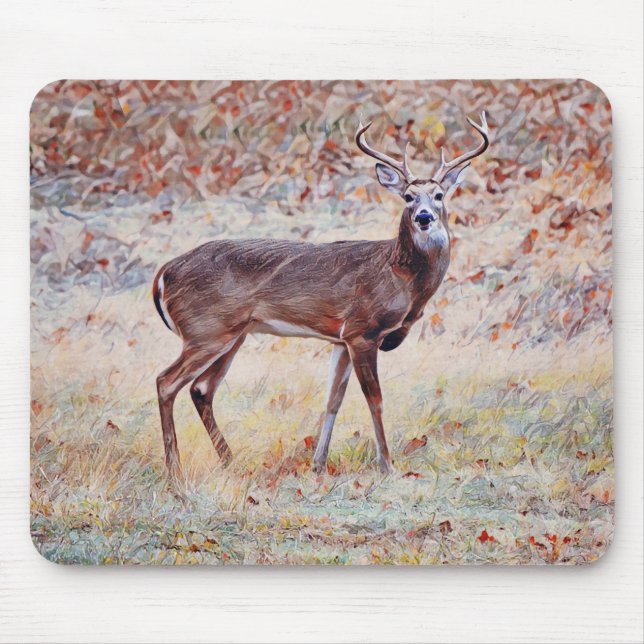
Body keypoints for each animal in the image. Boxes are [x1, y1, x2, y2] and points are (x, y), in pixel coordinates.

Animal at [152, 111, 489, 479]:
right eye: (408, 197)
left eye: (439, 195)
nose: (424, 217)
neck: (399, 275)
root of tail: (163, 272)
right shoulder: (361, 330)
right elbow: (375, 400)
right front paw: (387, 466)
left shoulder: (340, 338)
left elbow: (333, 400)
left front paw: (318, 464)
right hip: (206, 330)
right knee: (166, 381)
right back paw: (174, 471)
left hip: (232, 333)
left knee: (201, 389)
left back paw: (230, 462)